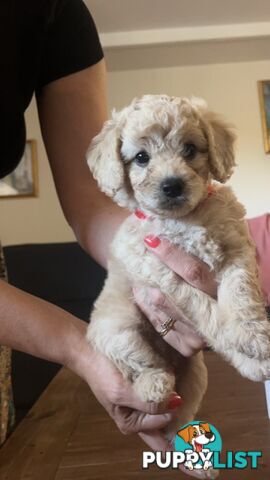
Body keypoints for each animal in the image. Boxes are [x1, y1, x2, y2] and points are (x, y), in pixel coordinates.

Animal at [87, 94, 270, 454]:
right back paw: (154, 384)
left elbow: (240, 293)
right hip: (116, 328)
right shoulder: (163, 274)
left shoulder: (238, 250)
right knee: (141, 363)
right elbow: (208, 311)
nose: (172, 185)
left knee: (179, 418)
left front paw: (252, 335)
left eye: (189, 149)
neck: (186, 219)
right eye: (141, 158)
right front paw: (246, 343)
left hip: (197, 376)